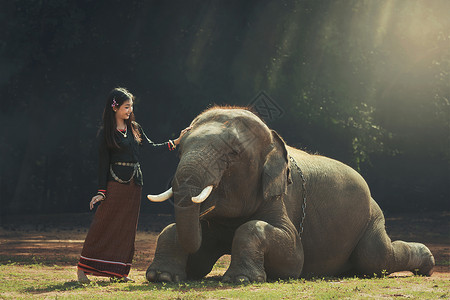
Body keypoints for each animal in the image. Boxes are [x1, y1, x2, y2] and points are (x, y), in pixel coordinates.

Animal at [146, 106, 434, 282]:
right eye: (179, 148)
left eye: (233, 153)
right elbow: (196, 255)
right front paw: (162, 277)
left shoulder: (281, 197)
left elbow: (292, 257)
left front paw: (241, 279)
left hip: (372, 218)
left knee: (375, 258)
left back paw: (427, 263)